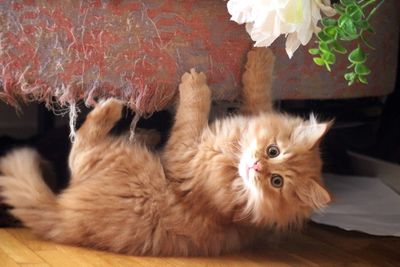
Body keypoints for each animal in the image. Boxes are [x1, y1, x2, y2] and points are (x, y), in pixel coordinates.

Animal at [0, 48, 332, 258]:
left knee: (80, 148)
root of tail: (64, 218)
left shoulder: (184, 154)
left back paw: (113, 107)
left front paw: (196, 83)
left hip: (116, 161)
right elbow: (258, 93)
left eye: (277, 182)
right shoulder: (248, 114)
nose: (257, 167)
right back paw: (146, 132)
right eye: (273, 151)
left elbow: (192, 111)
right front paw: (261, 56)